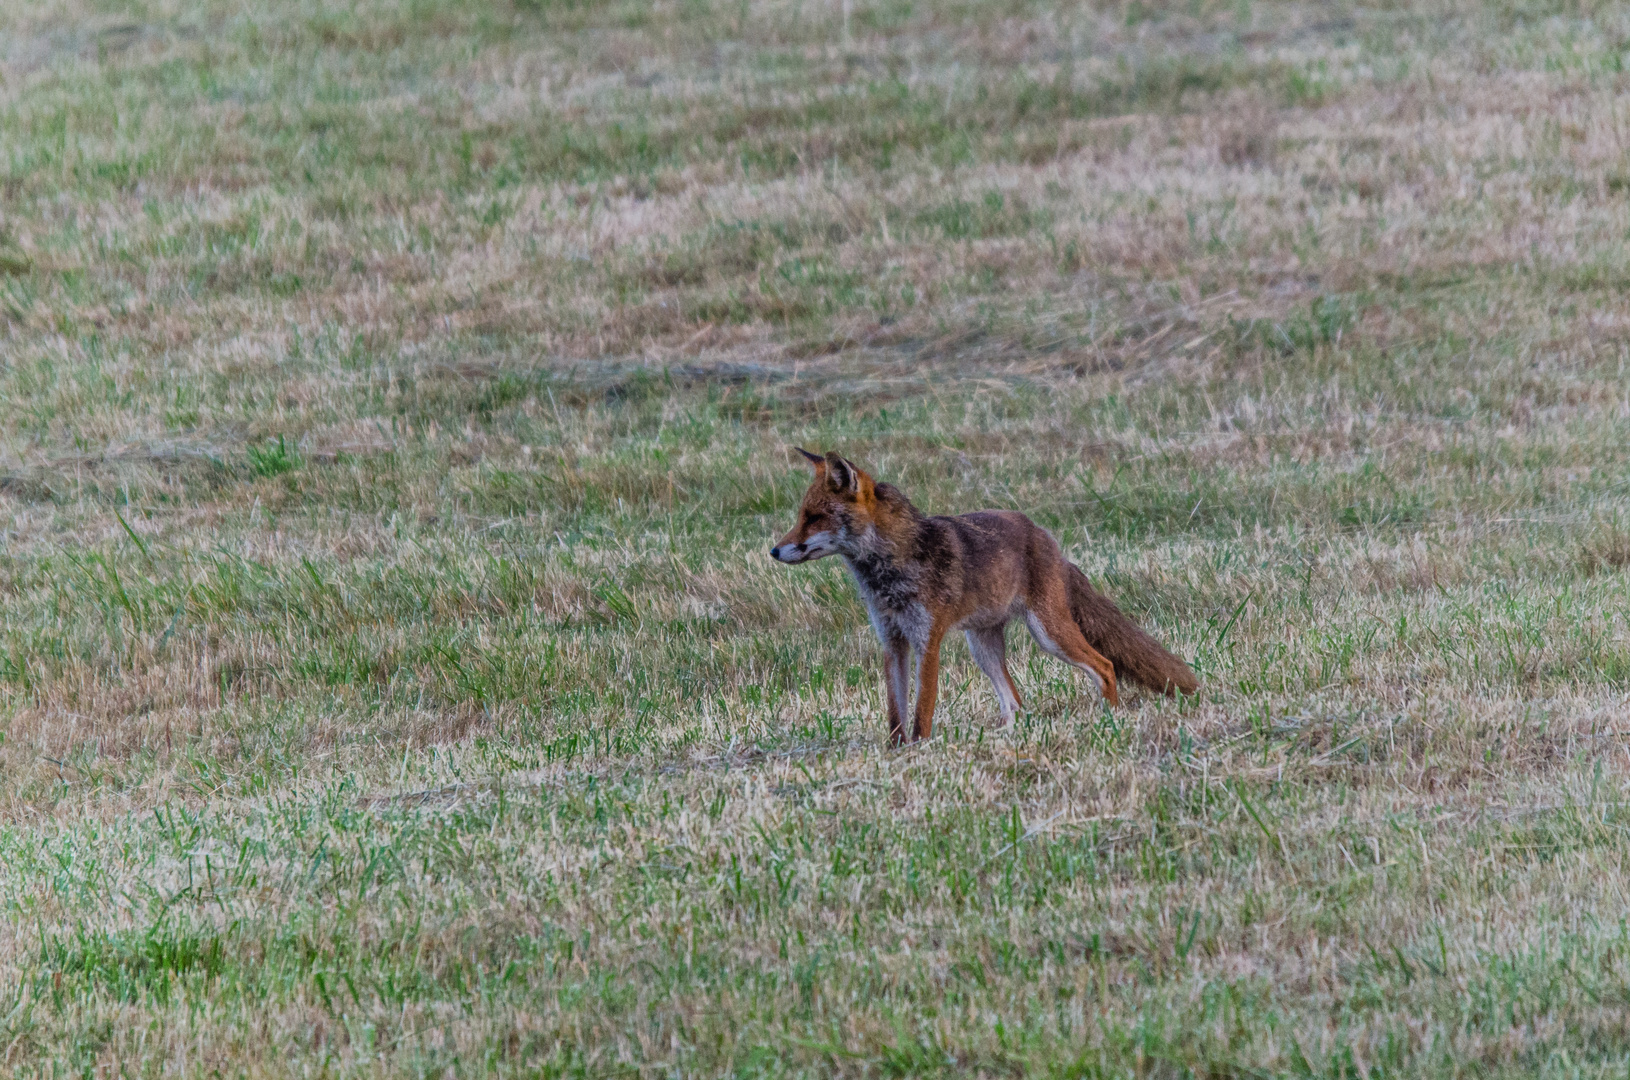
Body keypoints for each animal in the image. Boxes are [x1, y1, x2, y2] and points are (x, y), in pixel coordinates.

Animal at [762, 446, 1199, 742]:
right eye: (801, 516)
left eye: (814, 517)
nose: (774, 551)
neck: (890, 570)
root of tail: (1046, 538)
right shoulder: (892, 641)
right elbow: (895, 714)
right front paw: (895, 754)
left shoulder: (927, 640)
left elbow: (921, 711)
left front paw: (920, 750)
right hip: (983, 647)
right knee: (1016, 703)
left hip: (1048, 633)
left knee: (1104, 666)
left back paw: (1111, 718)